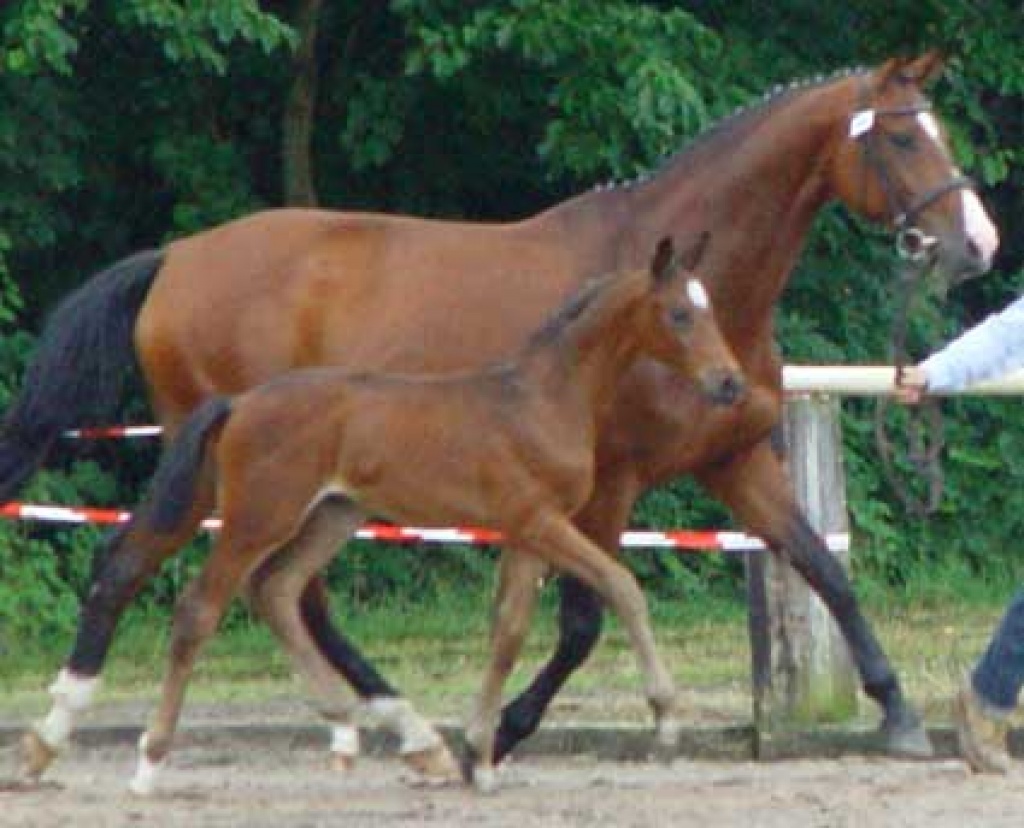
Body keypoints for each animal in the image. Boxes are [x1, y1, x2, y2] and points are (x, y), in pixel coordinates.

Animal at [120, 237, 744, 794]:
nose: (729, 382)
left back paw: (346, 731)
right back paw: (150, 763)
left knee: (276, 589)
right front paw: (666, 717)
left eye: (711, 308)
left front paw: (481, 756)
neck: (541, 398)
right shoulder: (541, 520)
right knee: (200, 609)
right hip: (258, 517)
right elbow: (622, 585)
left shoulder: (524, 533)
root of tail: (240, 403)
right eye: (680, 314)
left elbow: (508, 630)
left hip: (333, 514)